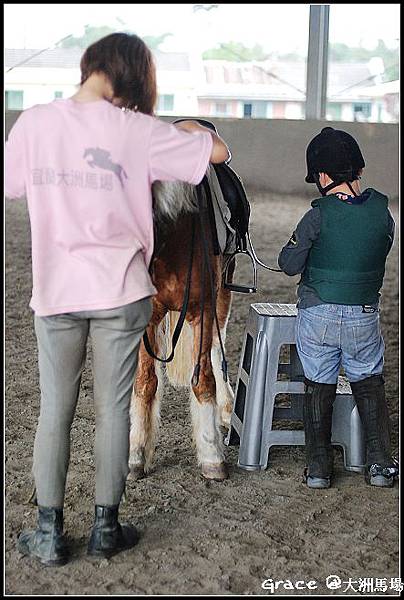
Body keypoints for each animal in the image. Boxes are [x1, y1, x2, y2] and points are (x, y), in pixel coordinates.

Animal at [129, 170, 235, 482]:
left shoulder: (203, 311)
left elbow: (203, 381)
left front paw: (212, 456)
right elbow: (145, 382)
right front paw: (136, 454)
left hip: (224, 291)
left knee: (217, 346)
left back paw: (226, 409)